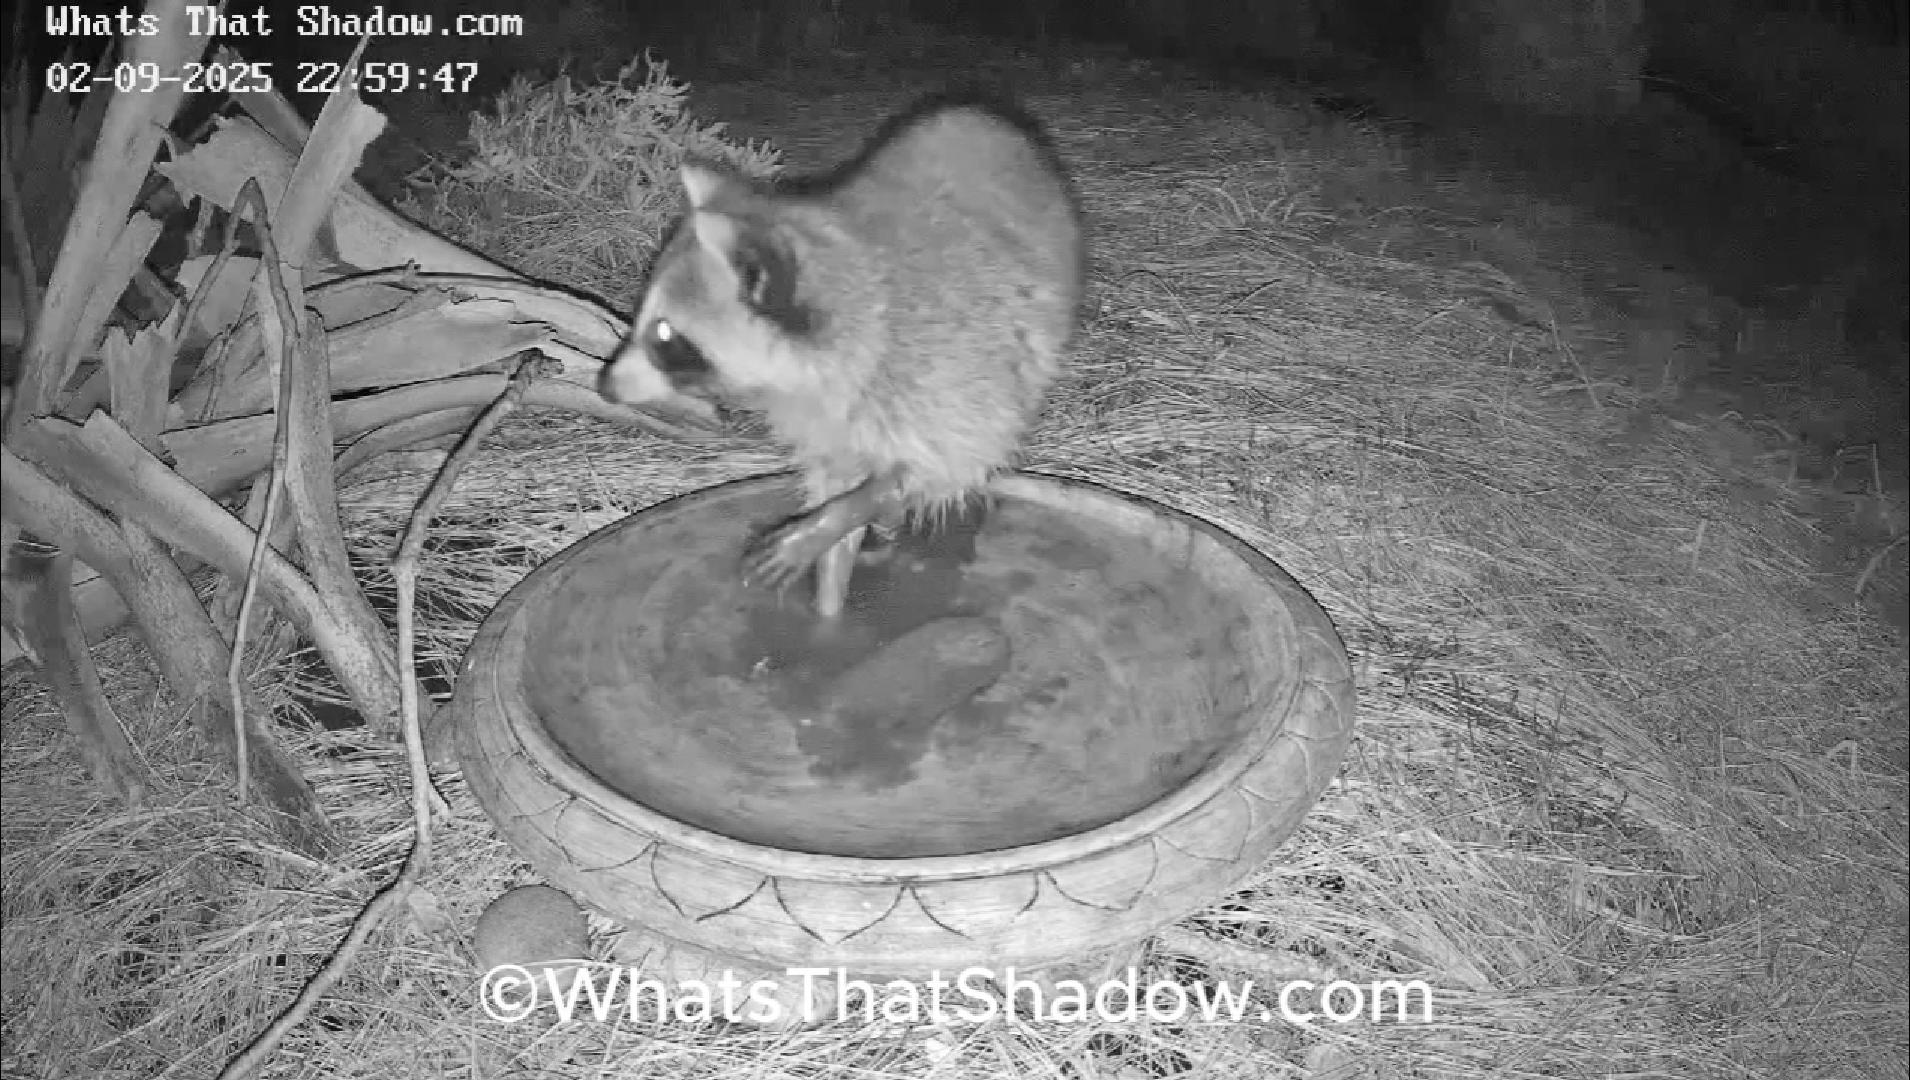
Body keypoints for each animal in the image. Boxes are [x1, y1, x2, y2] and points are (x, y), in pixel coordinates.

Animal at [599, 91, 1085, 619]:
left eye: (665, 336)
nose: (605, 385)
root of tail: (982, 114)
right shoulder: (822, 413)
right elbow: (837, 477)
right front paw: (829, 600)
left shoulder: (949, 368)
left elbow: (951, 461)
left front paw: (842, 515)